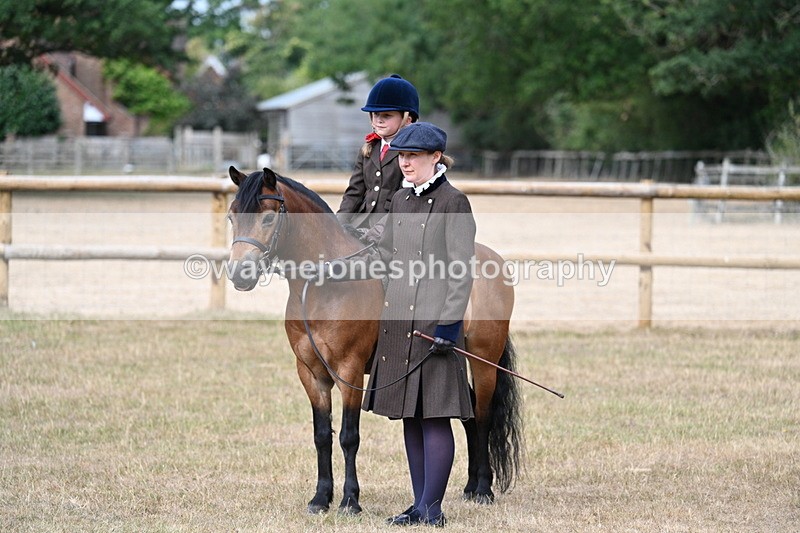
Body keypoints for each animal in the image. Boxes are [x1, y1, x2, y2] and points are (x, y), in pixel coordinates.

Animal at [225, 166, 523, 514]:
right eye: (232, 216)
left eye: (269, 217)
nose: (239, 274)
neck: (325, 286)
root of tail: (493, 260)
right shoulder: (311, 374)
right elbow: (322, 435)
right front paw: (320, 498)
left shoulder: (350, 371)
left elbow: (348, 436)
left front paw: (349, 501)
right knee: (470, 416)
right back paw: (470, 487)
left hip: (483, 359)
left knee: (484, 415)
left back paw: (484, 490)